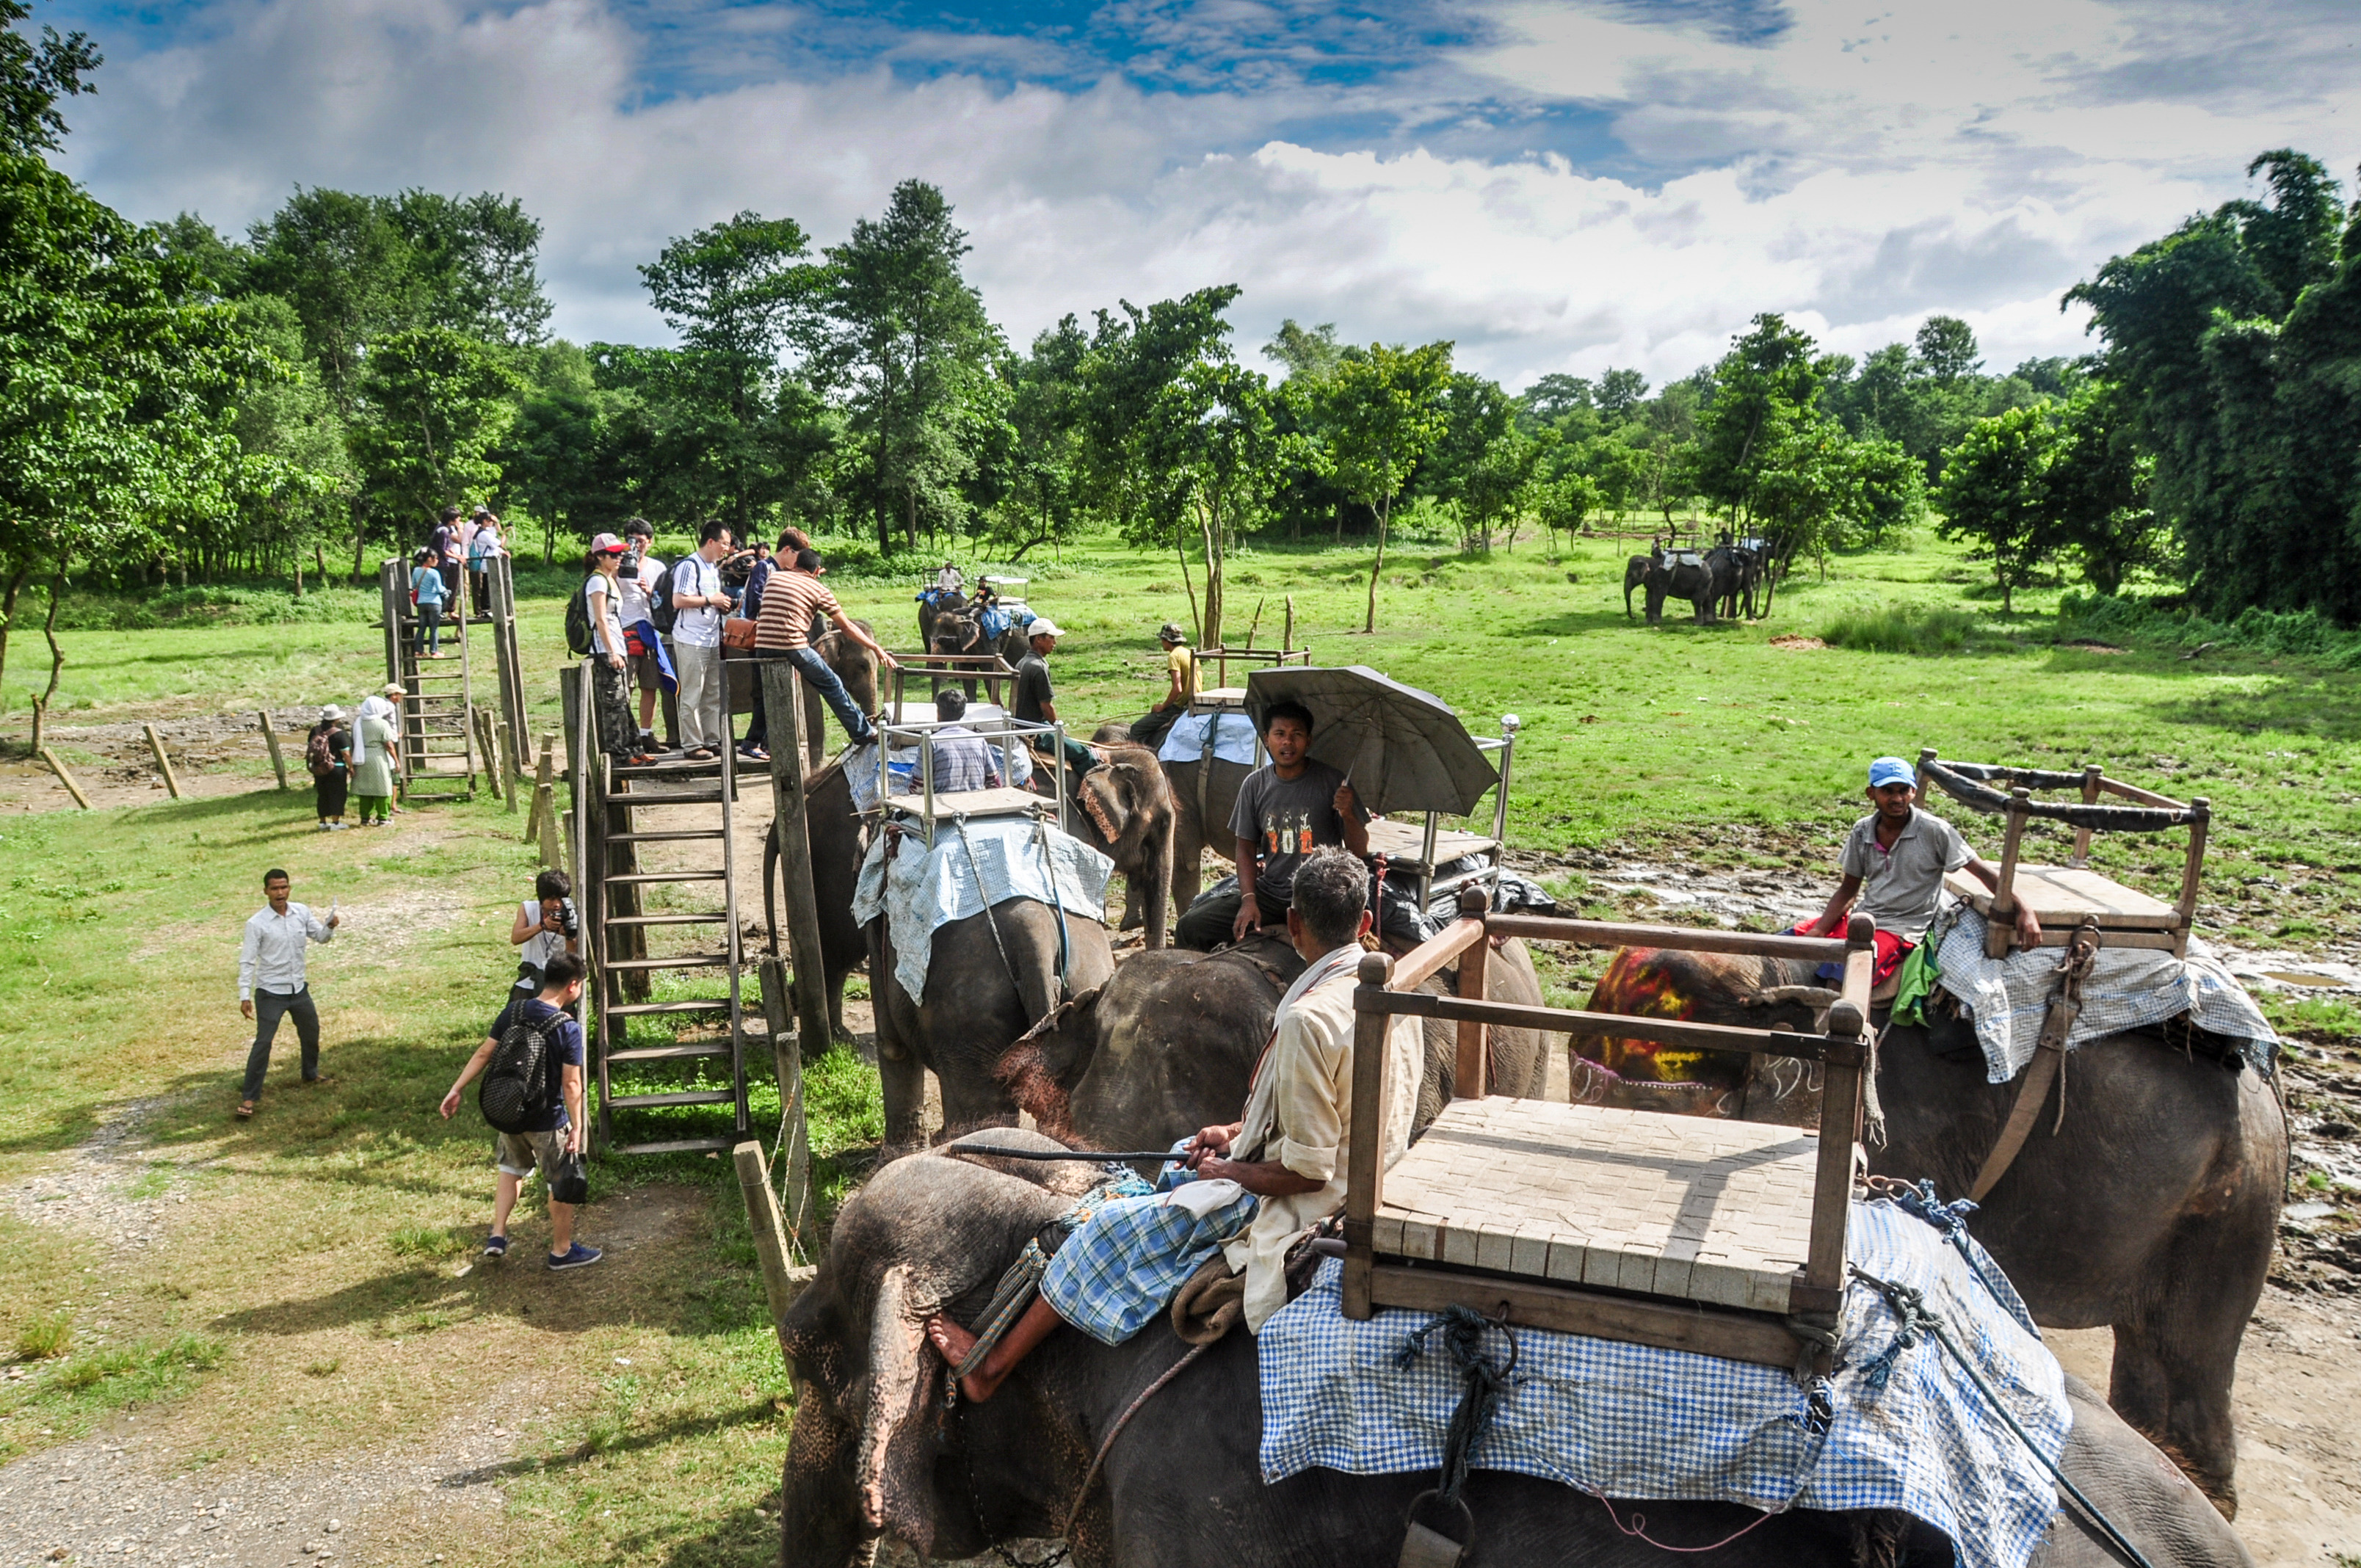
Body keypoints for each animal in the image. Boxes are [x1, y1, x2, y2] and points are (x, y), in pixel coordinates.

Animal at [1567, 944, 2285, 1520]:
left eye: (1649, 1108)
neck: (1775, 978)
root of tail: (2265, 1086)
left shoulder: (1901, 1132)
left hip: (2224, 1214)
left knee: (2188, 1361)